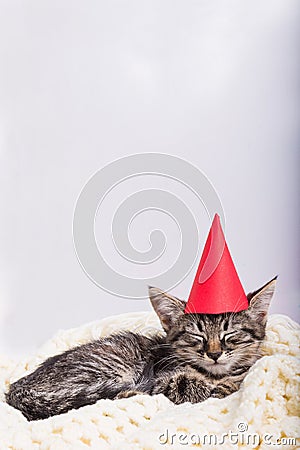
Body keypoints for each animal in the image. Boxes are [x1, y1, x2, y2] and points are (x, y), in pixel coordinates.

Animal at [5, 276, 276, 420]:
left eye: (229, 333)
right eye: (196, 335)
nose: (214, 353)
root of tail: (16, 388)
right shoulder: (162, 379)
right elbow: (193, 387)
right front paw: (216, 387)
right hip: (112, 369)